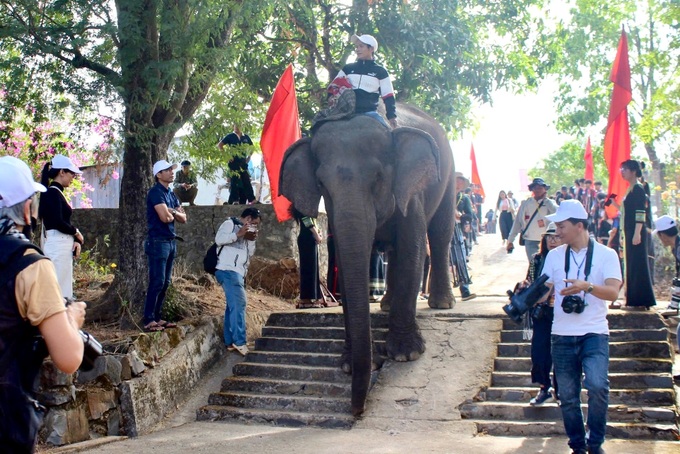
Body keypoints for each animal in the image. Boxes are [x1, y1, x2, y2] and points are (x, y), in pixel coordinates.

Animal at [278, 103, 454, 414]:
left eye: (378, 178)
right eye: (322, 184)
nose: (357, 410)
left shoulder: (411, 192)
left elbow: (412, 249)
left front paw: (406, 354)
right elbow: (348, 260)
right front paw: (350, 364)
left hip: (450, 171)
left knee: (441, 232)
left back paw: (442, 304)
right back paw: (386, 305)